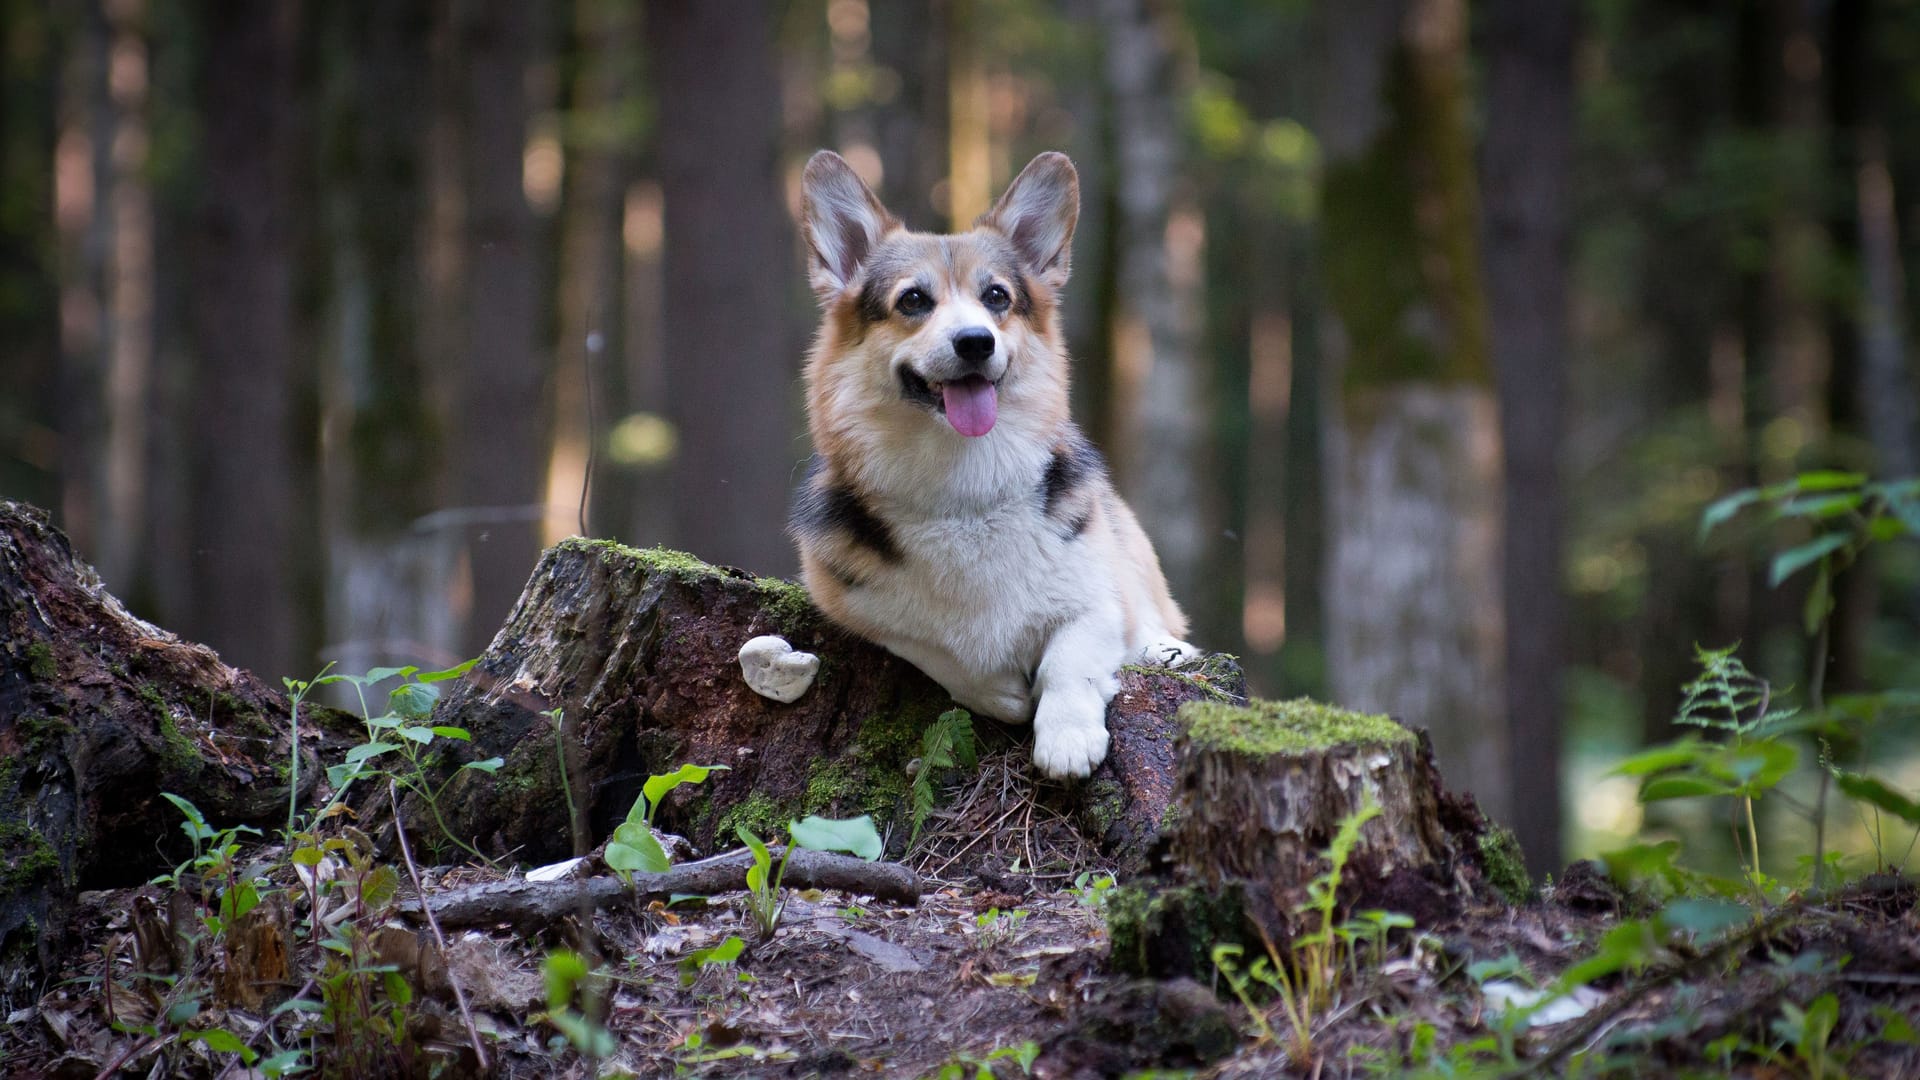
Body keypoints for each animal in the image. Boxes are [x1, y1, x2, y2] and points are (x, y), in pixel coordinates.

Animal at [787, 148, 1190, 772]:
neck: (964, 486)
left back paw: (1166, 647)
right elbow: (936, 649)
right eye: (913, 300)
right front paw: (1000, 690)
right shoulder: (857, 608)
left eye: (997, 297)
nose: (976, 342)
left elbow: (1072, 657)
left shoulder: (1095, 599)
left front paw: (1067, 738)